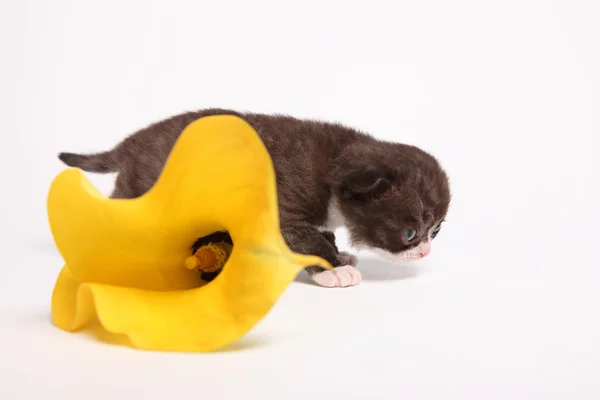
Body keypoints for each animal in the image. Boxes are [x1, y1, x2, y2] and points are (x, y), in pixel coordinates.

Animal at [58, 109, 450, 288]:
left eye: (436, 231)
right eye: (410, 234)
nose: (425, 252)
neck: (336, 162)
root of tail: (129, 143)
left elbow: (322, 234)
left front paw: (339, 255)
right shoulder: (284, 213)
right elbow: (308, 241)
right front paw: (333, 270)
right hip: (142, 187)